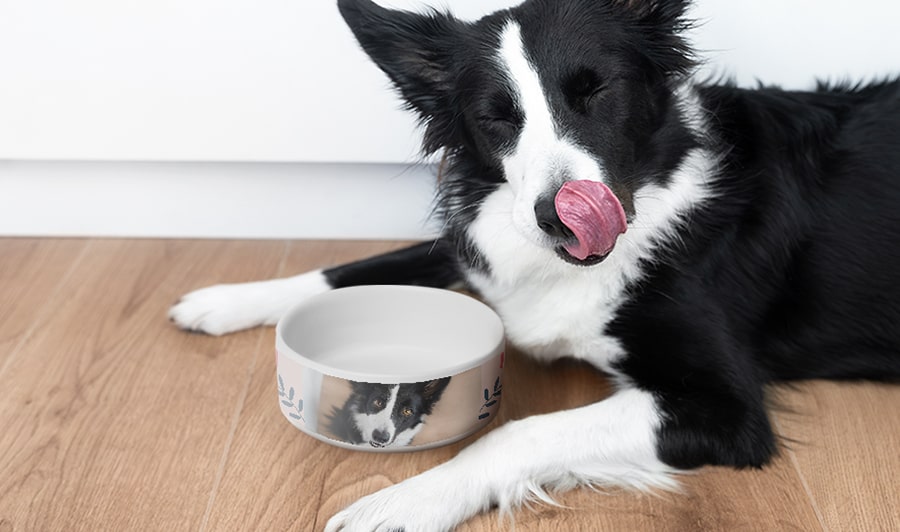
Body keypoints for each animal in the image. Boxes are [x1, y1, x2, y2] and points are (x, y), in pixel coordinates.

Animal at [171, 0, 900, 528]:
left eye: (596, 91)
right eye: (497, 117)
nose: (557, 216)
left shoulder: (726, 409)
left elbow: (515, 435)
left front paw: (408, 500)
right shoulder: (473, 248)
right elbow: (354, 269)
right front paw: (227, 298)